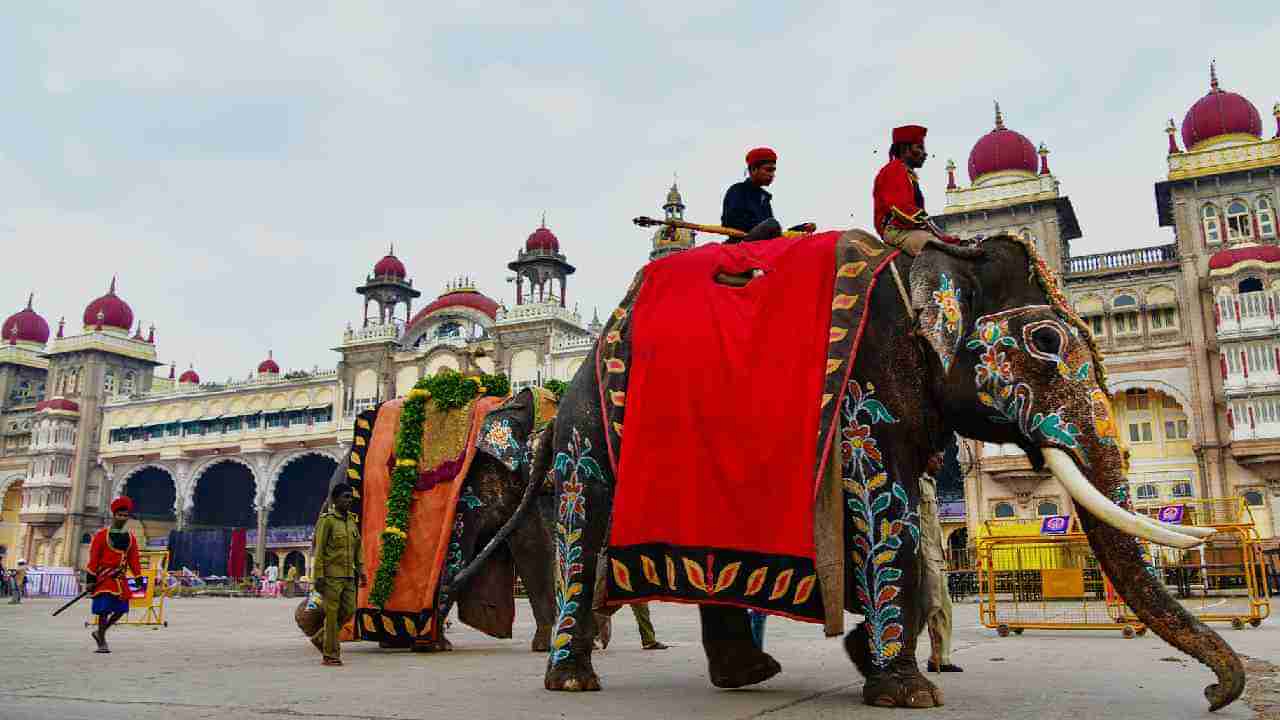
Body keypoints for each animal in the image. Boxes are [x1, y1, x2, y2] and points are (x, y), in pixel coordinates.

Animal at [302, 384, 563, 653]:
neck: (508, 402)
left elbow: (532, 545)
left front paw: (543, 646)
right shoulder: (471, 483)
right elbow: (461, 544)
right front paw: (436, 644)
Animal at [537, 228, 1239, 707]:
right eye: (1046, 343)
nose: (1212, 696)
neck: (944, 256)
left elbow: (909, 530)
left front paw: (868, 660)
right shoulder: (868, 388)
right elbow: (888, 511)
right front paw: (908, 694)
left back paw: (749, 676)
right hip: (588, 423)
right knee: (580, 530)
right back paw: (573, 681)